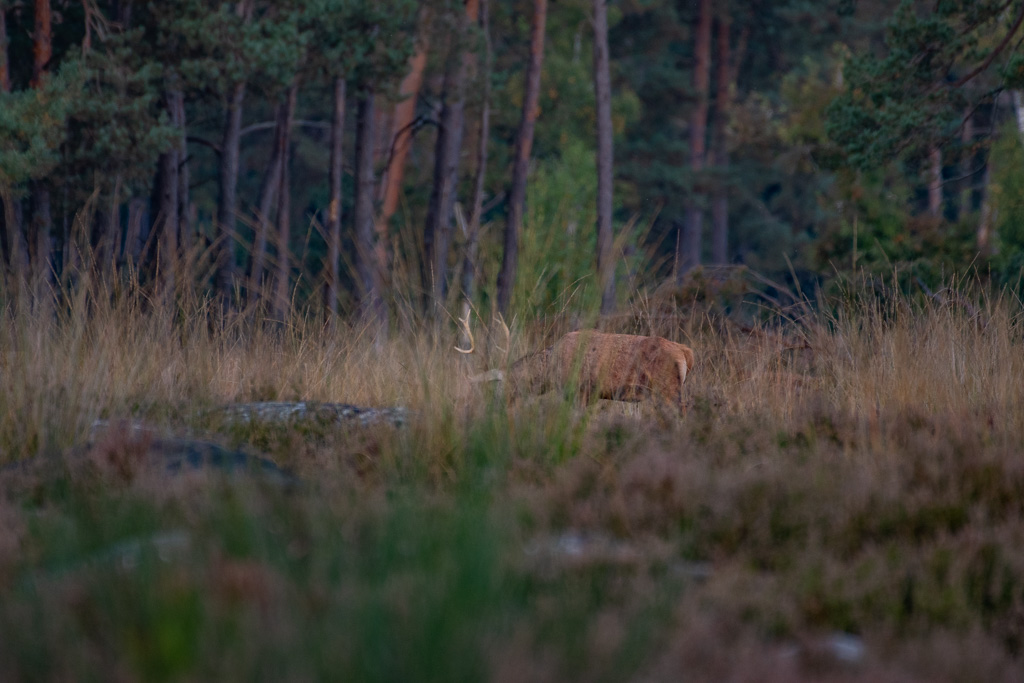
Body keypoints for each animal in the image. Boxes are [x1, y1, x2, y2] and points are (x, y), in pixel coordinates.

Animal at [456, 314, 696, 416]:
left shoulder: (579, 391)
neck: (551, 369)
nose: (493, 408)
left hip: (667, 390)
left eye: (498, 386)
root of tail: (686, 352)